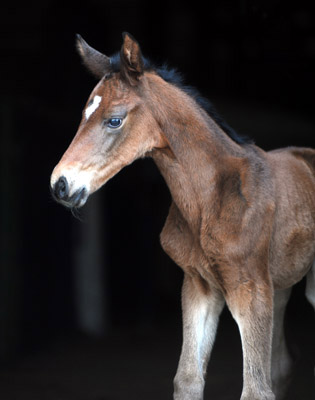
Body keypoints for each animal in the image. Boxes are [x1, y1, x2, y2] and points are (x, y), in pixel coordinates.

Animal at [50, 32, 314, 398]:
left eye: (114, 119)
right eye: (82, 114)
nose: (60, 184)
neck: (209, 200)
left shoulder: (249, 288)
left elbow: (255, 389)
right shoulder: (199, 285)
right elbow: (188, 379)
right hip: (280, 288)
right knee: (283, 364)